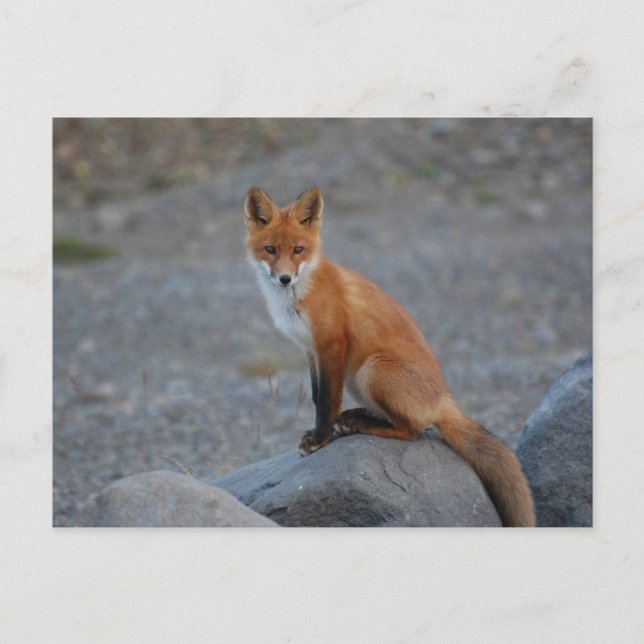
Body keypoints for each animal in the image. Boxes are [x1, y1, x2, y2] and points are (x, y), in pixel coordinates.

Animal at [243, 186, 536, 527]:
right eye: (270, 250)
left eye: (299, 250)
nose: (285, 278)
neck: (298, 296)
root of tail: (443, 397)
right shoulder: (309, 349)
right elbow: (317, 396)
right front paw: (319, 433)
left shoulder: (331, 344)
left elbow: (326, 401)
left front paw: (319, 439)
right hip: (357, 379)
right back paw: (356, 417)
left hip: (372, 370)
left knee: (413, 430)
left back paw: (360, 425)